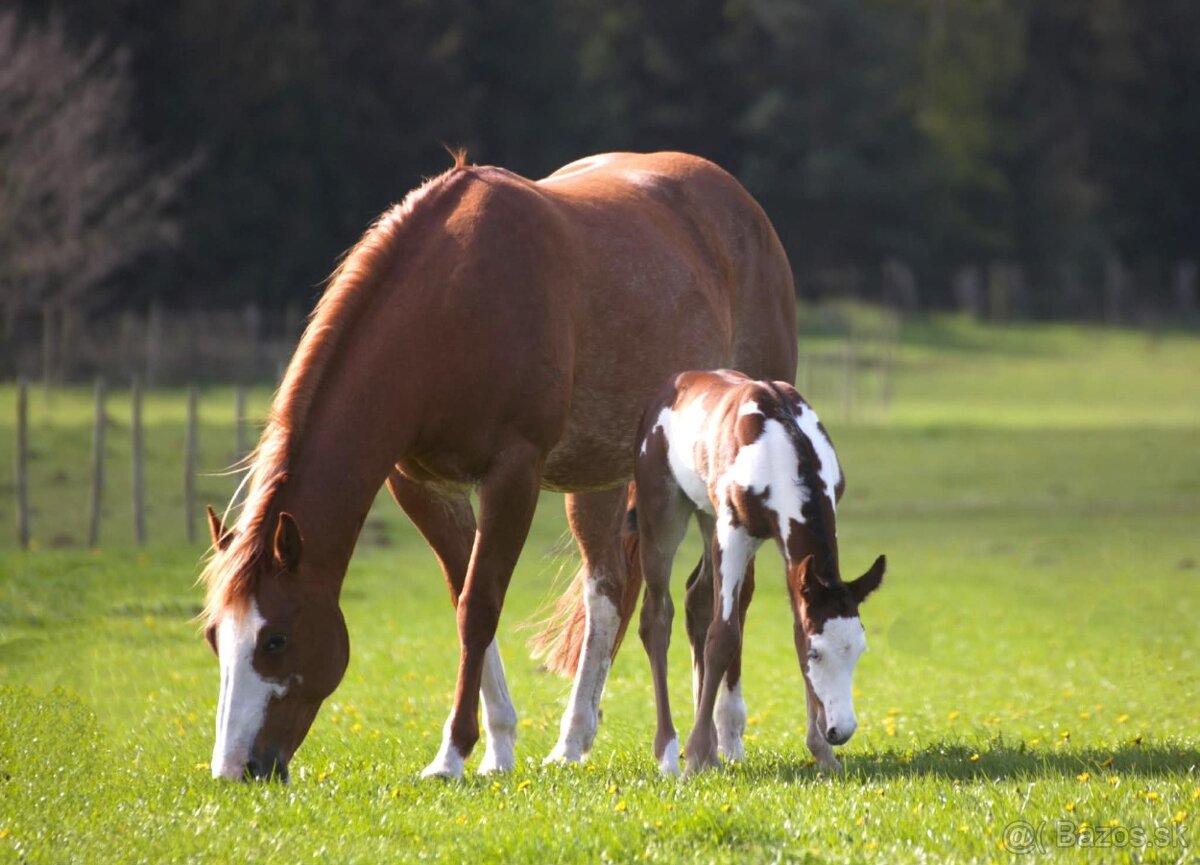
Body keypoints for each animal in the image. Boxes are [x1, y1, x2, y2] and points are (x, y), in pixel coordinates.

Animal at [198, 150, 799, 781]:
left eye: (275, 640)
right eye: (216, 636)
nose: (235, 768)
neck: (449, 310)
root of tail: (737, 202)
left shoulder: (513, 474)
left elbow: (479, 607)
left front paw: (452, 754)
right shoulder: (422, 486)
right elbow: (464, 596)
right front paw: (498, 749)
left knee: (728, 596)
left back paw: (725, 737)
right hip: (598, 479)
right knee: (610, 590)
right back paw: (572, 743)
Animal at [632, 369, 886, 774]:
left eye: (859, 651)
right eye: (817, 654)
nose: (840, 731)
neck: (783, 442)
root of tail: (676, 383)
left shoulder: (791, 552)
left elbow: (796, 626)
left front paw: (823, 754)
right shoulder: (734, 531)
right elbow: (723, 637)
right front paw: (697, 756)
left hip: (706, 516)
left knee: (695, 601)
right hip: (662, 513)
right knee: (656, 618)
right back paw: (670, 754)